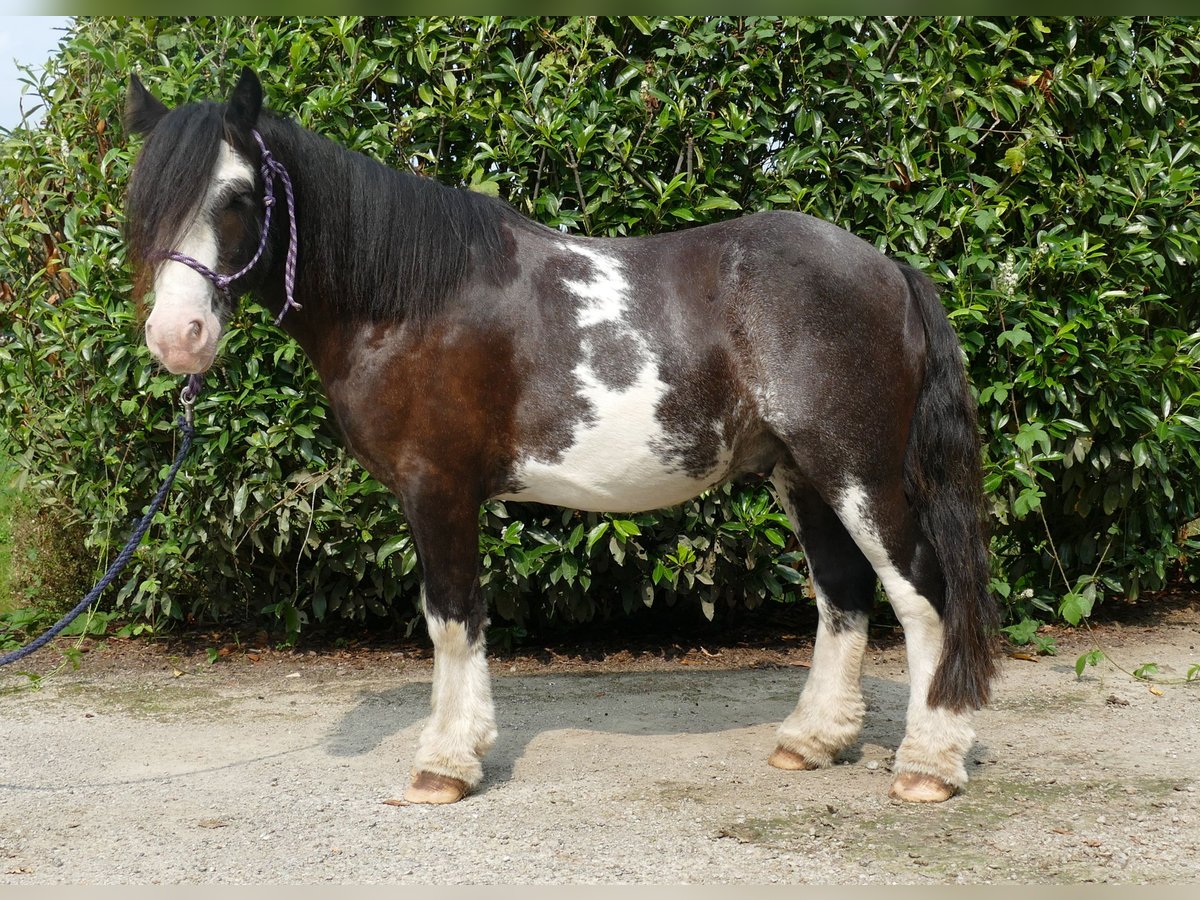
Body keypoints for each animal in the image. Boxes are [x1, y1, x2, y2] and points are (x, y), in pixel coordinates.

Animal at [126, 66, 998, 806]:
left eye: (238, 196)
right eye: (144, 201)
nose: (176, 337)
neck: (410, 299)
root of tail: (888, 269)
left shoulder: (437, 485)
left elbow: (452, 617)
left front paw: (445, 765)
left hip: (859, 471)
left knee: (922, 595)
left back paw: (929, 765)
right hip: (803, 474)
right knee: (842, 595)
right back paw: (812, 741)